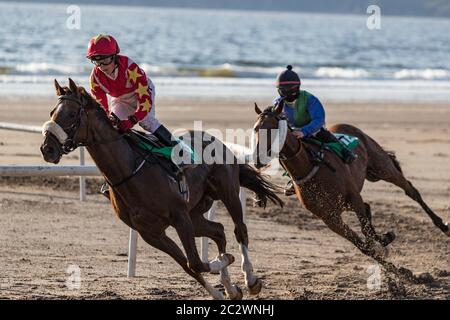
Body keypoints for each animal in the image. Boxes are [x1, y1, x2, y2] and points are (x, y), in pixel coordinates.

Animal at [41, 79, 282, 298]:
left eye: (72, 114)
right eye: (52, 112)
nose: (47, 149)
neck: (129, 172)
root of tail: (217, 141)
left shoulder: (179, 217)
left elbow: (195, 262)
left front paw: (225, 263)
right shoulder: (151, 233)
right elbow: (189, 266)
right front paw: (219, 289)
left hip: (227, 193)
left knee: (239, 230)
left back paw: (250, 279)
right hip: (195, 214)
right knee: (218, 231)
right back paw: (231, 287)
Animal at [253, 100, 450, 268]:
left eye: (273, 128)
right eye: (256, 129)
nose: (257, 159)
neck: (309, 167)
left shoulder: (353, 198)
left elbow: (366, 234)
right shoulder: (330, 218)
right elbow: (364, 246)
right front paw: (394, 271)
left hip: (382, 167)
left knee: (411, 190)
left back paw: (443, 226)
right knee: (369, 207)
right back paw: (385, 238)